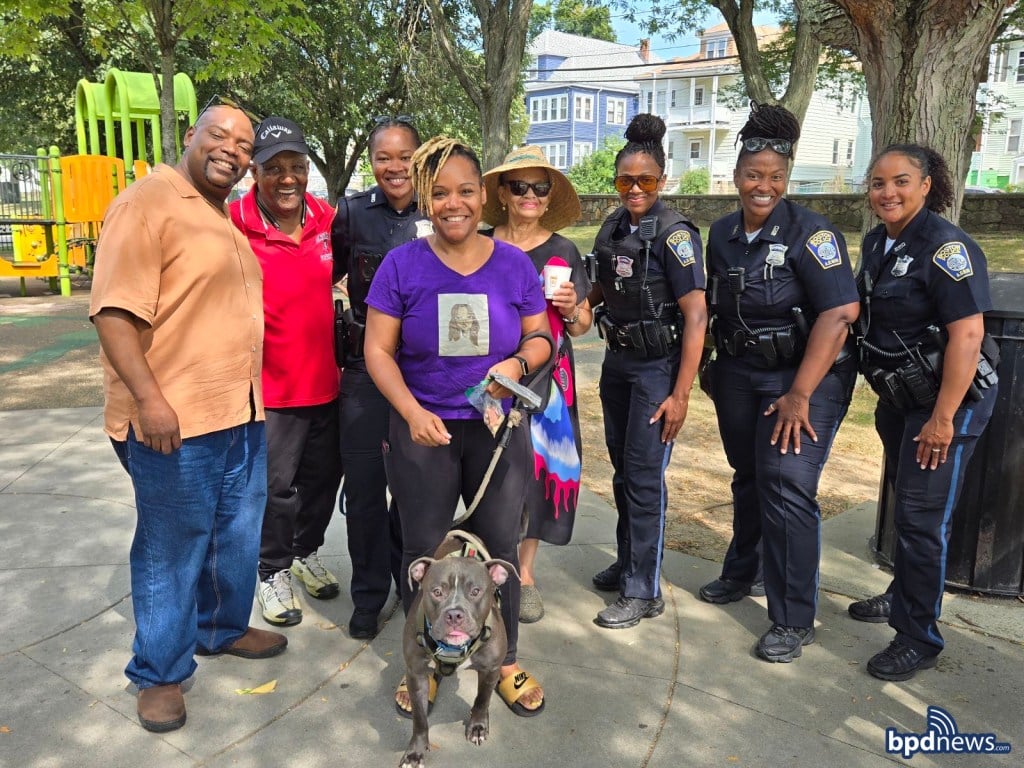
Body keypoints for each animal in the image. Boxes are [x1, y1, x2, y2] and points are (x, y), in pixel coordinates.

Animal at [397, 532, 516, 768]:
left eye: (476, 591)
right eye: (437, 592)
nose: (454, 614)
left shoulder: (491, 669)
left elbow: (482, 699)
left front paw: (478, 726)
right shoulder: (416, 674)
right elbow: (419, 718)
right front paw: (415, 752)